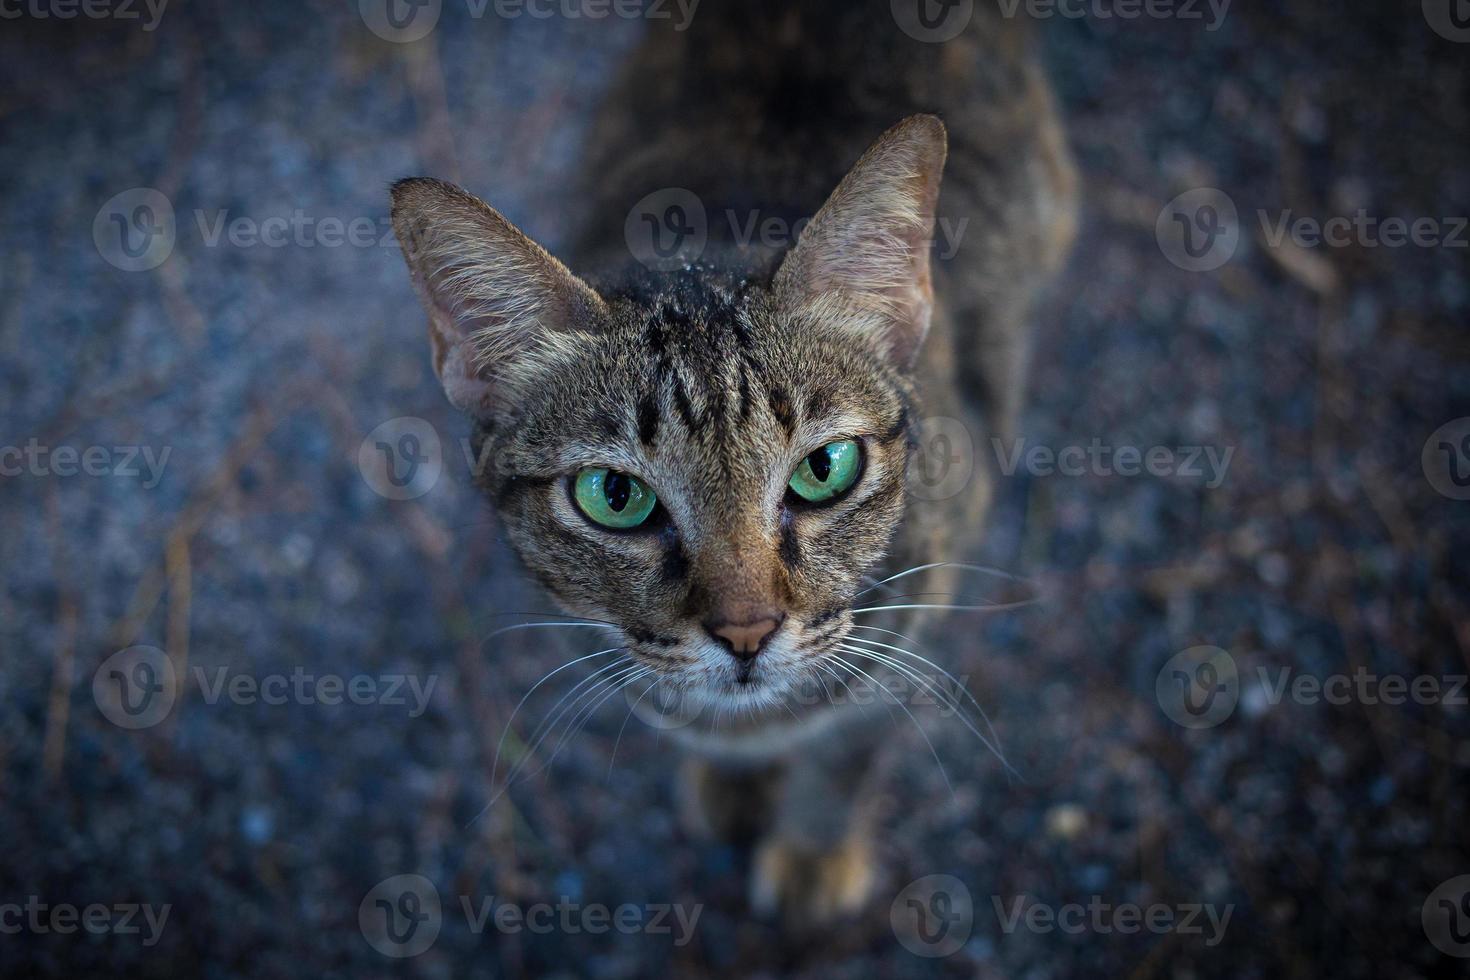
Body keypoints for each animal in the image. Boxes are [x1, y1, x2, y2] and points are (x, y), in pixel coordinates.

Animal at [391, 0, 1081, 928]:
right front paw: (735, 783)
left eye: (825, 468)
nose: (747, 632)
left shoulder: (916, 634)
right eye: (615, 495)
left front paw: (813, 849)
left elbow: (845, 753)